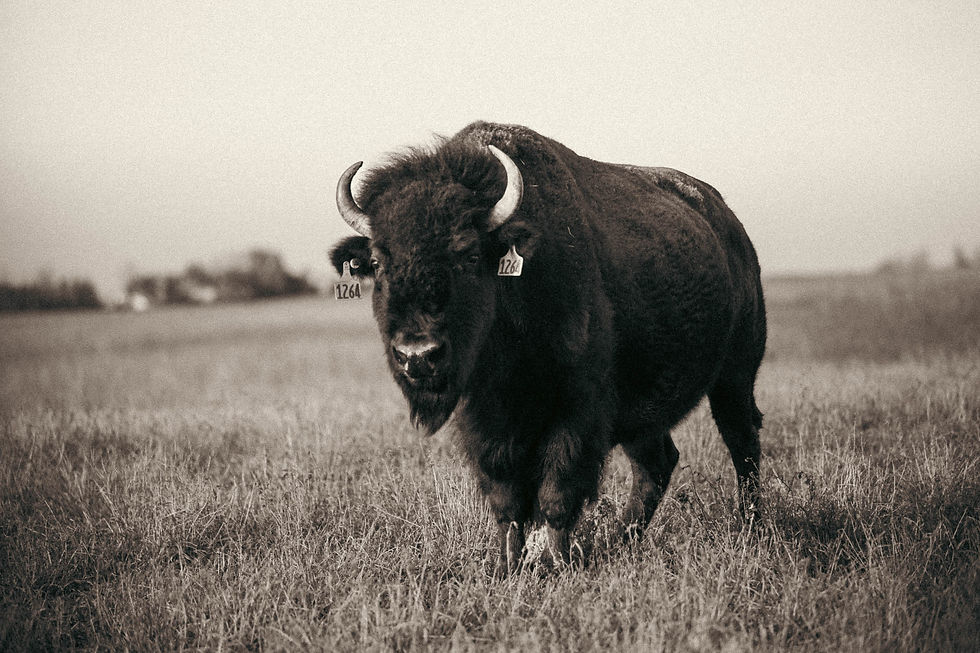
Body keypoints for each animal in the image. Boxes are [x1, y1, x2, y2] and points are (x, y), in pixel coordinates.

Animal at [330, 122, 765, 574]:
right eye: (377, 263)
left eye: (469, 255)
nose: (417, 355)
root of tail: (730, 225)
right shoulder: (486, 418)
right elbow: (506, 498)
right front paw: (508, 565)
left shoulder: (578, 407)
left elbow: (557, 488)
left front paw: (554, 563)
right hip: (647, 412)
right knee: (656, 464)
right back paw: (619, 542)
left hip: (736, 375)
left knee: (742, 444)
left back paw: (753, 530)